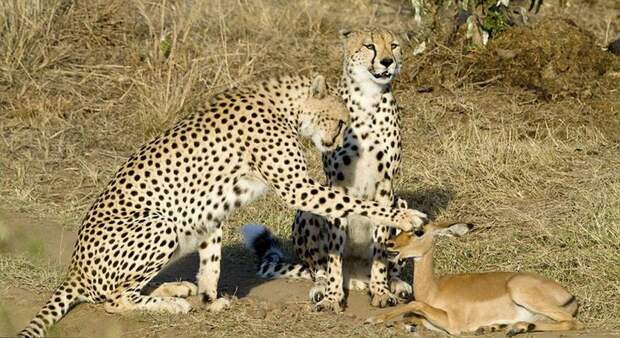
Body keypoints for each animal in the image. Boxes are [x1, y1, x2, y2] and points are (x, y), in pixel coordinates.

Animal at [19, 74, 426, 338]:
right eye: (340, 120)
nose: (337, 143)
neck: (283, 105)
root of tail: (74, 266)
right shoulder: (297, 188)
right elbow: (352, 201)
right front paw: (405, 216)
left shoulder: (211, 211)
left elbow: (211, 261)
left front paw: (209, 299)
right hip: (161, 225)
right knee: (111, 300)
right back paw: (169, 305)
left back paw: (174, 291)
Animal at [242, 28, 422, 312]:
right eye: (369, 46)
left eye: (393, 45)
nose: (387, 62)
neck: (368, 99)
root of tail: (356, 277)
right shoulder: (337, 184)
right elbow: (334, 251)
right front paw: (332, 297)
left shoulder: (385, 185)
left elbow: (381, 245)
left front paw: (381, 291)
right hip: (307, 213)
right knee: (318, 268)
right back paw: (321, 287)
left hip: (400, 201)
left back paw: (395, 283)